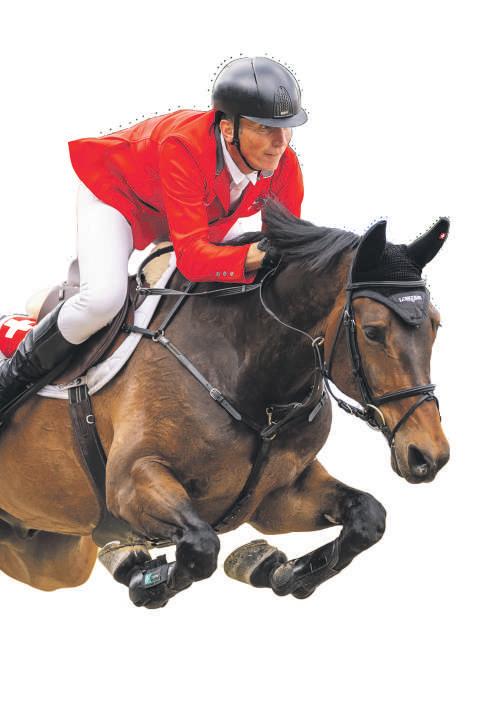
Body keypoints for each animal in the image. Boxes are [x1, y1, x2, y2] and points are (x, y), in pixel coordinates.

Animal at [0, 200, 450, 607]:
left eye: (435, 324)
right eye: (373, 331)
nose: (429, 456)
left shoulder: (276, 497)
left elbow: (368, 517)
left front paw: (273, 568)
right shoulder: (129, 481)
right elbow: (200, 547)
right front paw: (147, 581)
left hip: (48, 559)